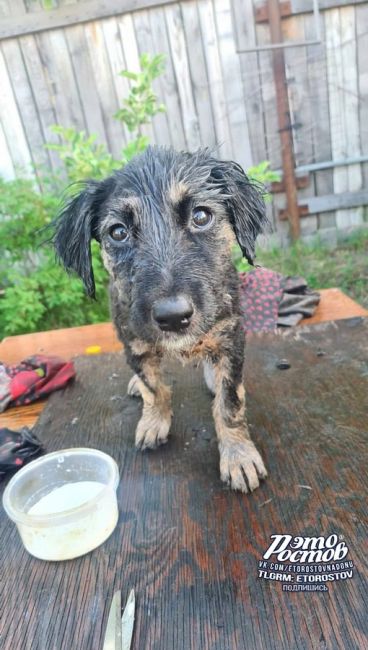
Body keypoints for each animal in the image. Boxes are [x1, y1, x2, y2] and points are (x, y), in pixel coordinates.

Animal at [54, 147, 268, 492]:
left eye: (201, 216)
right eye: (118, 232)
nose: (173, 317)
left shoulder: (230, 334)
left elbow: (230, 402)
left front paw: (238, 456)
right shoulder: (135, 342)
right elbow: (153, 387)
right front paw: (154, 421)